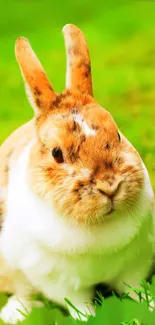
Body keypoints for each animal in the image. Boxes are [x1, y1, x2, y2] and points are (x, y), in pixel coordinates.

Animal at [0, 24, 154, 322]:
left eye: (118, 135)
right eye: (57, 153)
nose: (110, 186)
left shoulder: (135, 262)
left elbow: (134, 289)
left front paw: (150, 305)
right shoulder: (60, 282)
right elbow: (79, 304)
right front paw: (90, 319)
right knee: (22, 292)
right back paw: (15, 313)